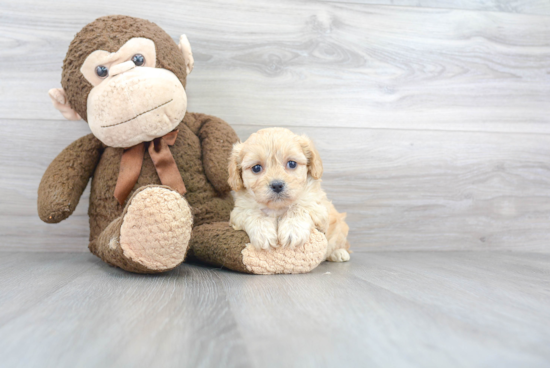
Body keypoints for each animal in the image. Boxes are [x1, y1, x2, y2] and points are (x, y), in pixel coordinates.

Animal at [230, 126, 352, 262]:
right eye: (256, 168)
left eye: (292, 164)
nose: (277, 185)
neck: (277, 207)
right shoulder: (239, 212)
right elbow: (253, 213)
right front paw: (263, 233)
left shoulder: (317, 206)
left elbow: (298, 208)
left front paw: (292, 230)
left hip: (340, 228)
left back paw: (339, 253)